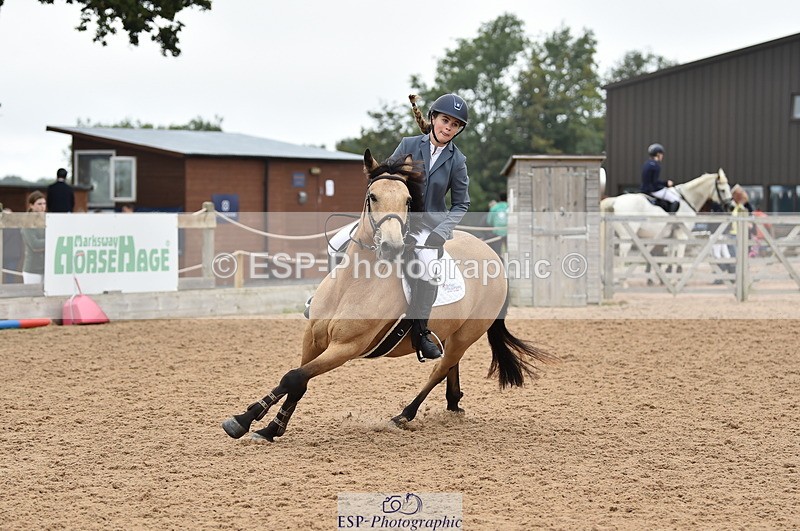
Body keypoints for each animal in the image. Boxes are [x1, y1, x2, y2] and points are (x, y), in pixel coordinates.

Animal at [222, 150, 556, 442]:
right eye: (373, 196)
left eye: (408, 200)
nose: (393, 247)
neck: (354, 283)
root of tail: (492, 253)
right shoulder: (313, 338)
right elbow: (295, 381)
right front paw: (263, 427)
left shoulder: (346, 347)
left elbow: (295, 377)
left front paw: (248, 423)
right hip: (452, 331)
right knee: (450, 366)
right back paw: (452, 404)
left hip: (467, 335)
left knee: (440, 368)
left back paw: (405, 415)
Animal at [600, 169, 735, 278]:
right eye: (723, 190)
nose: (732, 207)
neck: (687, 199)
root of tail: (616, 200)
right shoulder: (682, 234)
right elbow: (679, 255)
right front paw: (678, 276)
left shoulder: (672, 235)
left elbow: (671, 255)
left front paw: (668, 274)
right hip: (626, 237)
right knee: (621, 256)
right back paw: (622, 281)